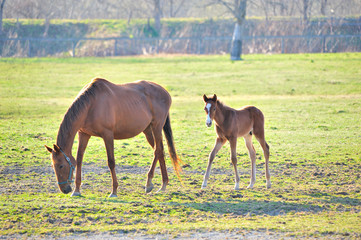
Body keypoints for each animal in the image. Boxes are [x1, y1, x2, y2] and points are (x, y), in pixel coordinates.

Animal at [44, 79, 180, 197]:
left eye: (61, 166)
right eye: (53, 166)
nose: (64, 189)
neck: (91, 104)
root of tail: (165, 92)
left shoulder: (108, 135)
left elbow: (111, 162)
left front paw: (114, 191)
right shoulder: (83, 134)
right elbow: (79, 160)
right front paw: (77, 190)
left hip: (156, 127)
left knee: (157, 150)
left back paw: (149, 183)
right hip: (147, 130)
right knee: (160, 150)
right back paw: (163, 184)